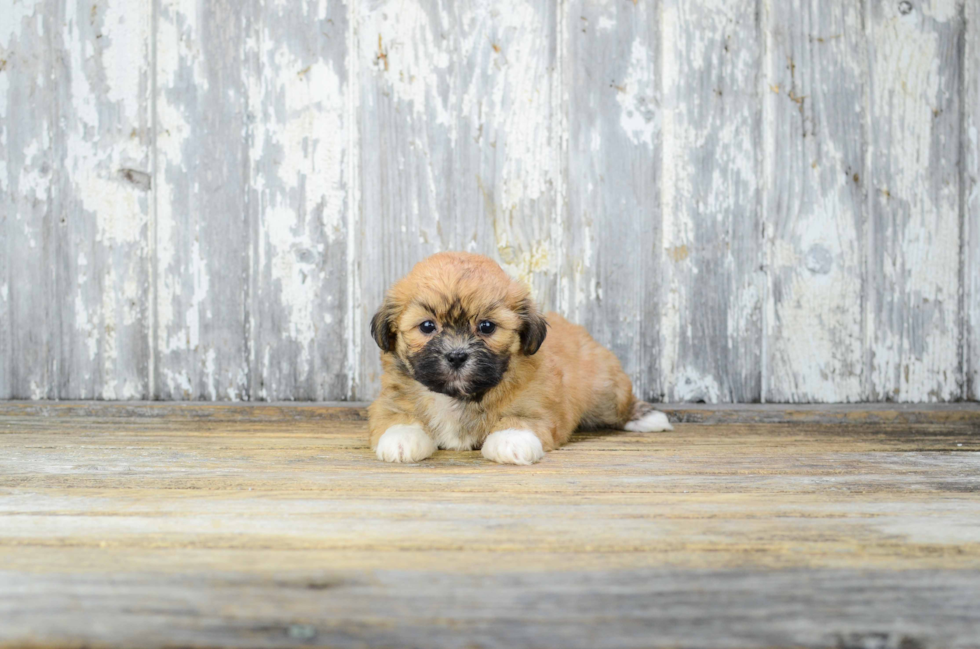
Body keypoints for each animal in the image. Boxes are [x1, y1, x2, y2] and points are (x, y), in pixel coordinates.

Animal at [368, 251, 672, 464]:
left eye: (486, 326)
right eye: (427, 326)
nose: (456, 356)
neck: (458, 397)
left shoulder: (537, 403)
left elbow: (521, 419)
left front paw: (511, 440)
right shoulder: (390, 400)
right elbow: (396, 417)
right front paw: (401, 439)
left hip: (605, 390)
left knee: (618, 406)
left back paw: (647, 418)